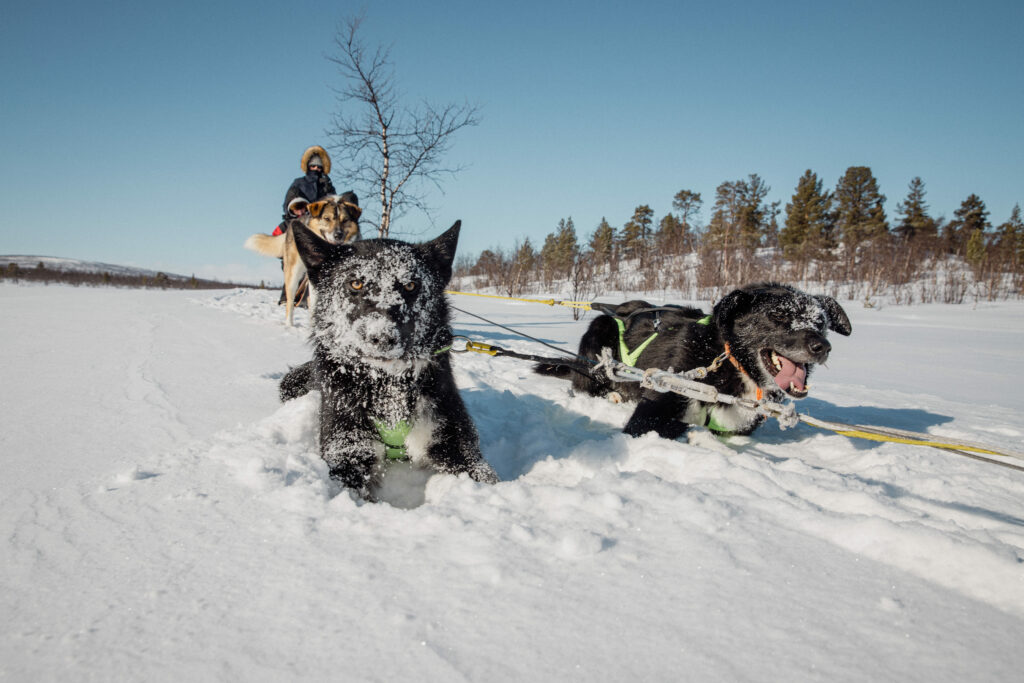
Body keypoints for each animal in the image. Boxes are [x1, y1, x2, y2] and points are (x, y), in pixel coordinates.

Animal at [245, 191, 362, 327]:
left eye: (345, 220)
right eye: (327, 219)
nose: (338, 235)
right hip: (293, 275)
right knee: (291, 302)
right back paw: (289, 325)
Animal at [274, 222, 493, 499]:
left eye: (410, 285)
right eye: (356, 283)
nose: (382, 337)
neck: (387, 382)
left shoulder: (455, 442)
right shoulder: (347, 450)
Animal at [540, 282, 851, 438]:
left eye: (820, 321)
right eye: (778, 315)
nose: (821, 346)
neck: (727, 361)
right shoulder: (648, 417)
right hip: (601, 333)